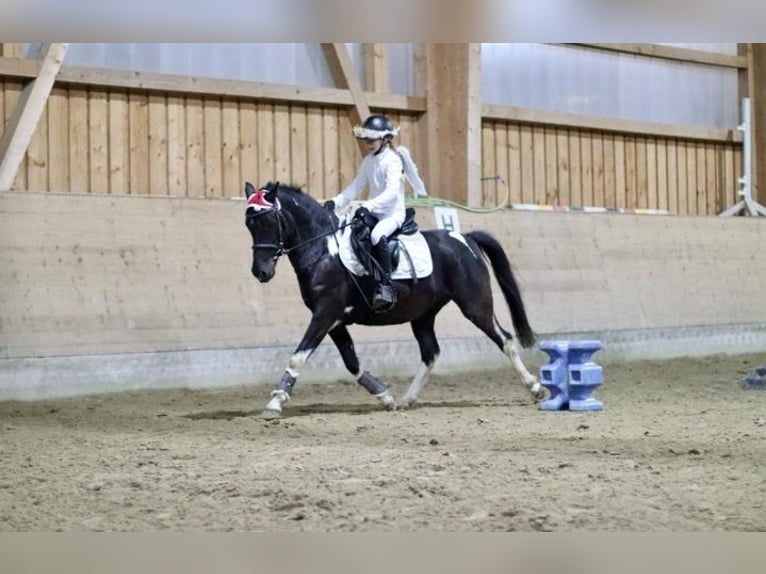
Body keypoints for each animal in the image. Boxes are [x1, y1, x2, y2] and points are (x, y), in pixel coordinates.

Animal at [243, 181, 544, 418]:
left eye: (269, 222)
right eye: (249, 224)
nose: (261, 272)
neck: (324, 250)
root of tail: (465, 239)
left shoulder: (325, 314)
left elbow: (298, 357)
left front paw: (274, 403)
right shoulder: (335, 321)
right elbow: (351, 363)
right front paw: (385, 396)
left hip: (475, 305)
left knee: (505, 339)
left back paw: (536, 388)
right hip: (423, 315)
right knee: (431, 352)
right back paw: (406, 399)